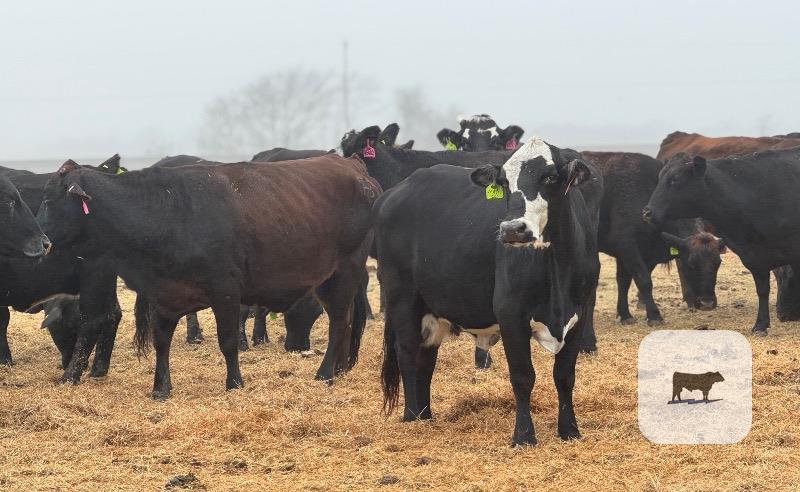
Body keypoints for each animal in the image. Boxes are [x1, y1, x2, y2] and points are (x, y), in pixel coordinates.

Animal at [37, 155, 379, 398]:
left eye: (50, 200)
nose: (41, 241)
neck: (165, 212)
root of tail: (351, 164)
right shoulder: (163, 295)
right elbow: (161, 342)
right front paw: (160, 388)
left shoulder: (225, 289)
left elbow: (227, 340)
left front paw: (234, 383)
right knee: (346, 319)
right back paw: (340, 368)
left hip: (344, 269)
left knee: (339, 321)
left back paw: (326, 373)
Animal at [377, 137, 602, 446]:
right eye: (505, 182)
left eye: (550, 177)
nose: (513, 229)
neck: (557, 267)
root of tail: (398, 190)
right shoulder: (511, 315)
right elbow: (522, 376)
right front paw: (524, 436)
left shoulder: (578, 315)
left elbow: (565, 375)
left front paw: (569, 430)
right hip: (402, 297)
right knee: (408, 353)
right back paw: (413, 417)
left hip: (431, 308)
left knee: (426, 358)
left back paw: (425, 414)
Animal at [582, 151, 725, 323]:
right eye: (691, 263)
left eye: (717, 263)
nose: (707, 303)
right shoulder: (627, 247)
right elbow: (644, 281)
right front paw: (654, 315)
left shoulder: (639, 254)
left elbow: (624, 282)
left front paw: (624, 315)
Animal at [643, 148, 800, 335]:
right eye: (659, 178)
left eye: (675, 179)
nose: (647, 212)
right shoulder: (754, 257)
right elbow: (762, 290)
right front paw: (760, 325)